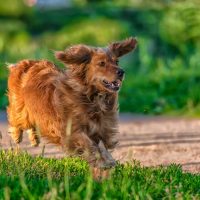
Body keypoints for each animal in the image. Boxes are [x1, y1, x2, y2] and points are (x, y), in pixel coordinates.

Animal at [7, 37, 137, 167]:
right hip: (21, 110)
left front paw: (107, 161)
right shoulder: (72, 131)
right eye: (101, 63)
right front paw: (101, 161)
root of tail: (26, 63)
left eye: (117, 62)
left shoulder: (102, 129)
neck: (91, 97)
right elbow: (89, 145)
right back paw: (16, 135)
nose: (121, 72)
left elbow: (102, 146)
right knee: (16, 118)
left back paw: (34, 139)